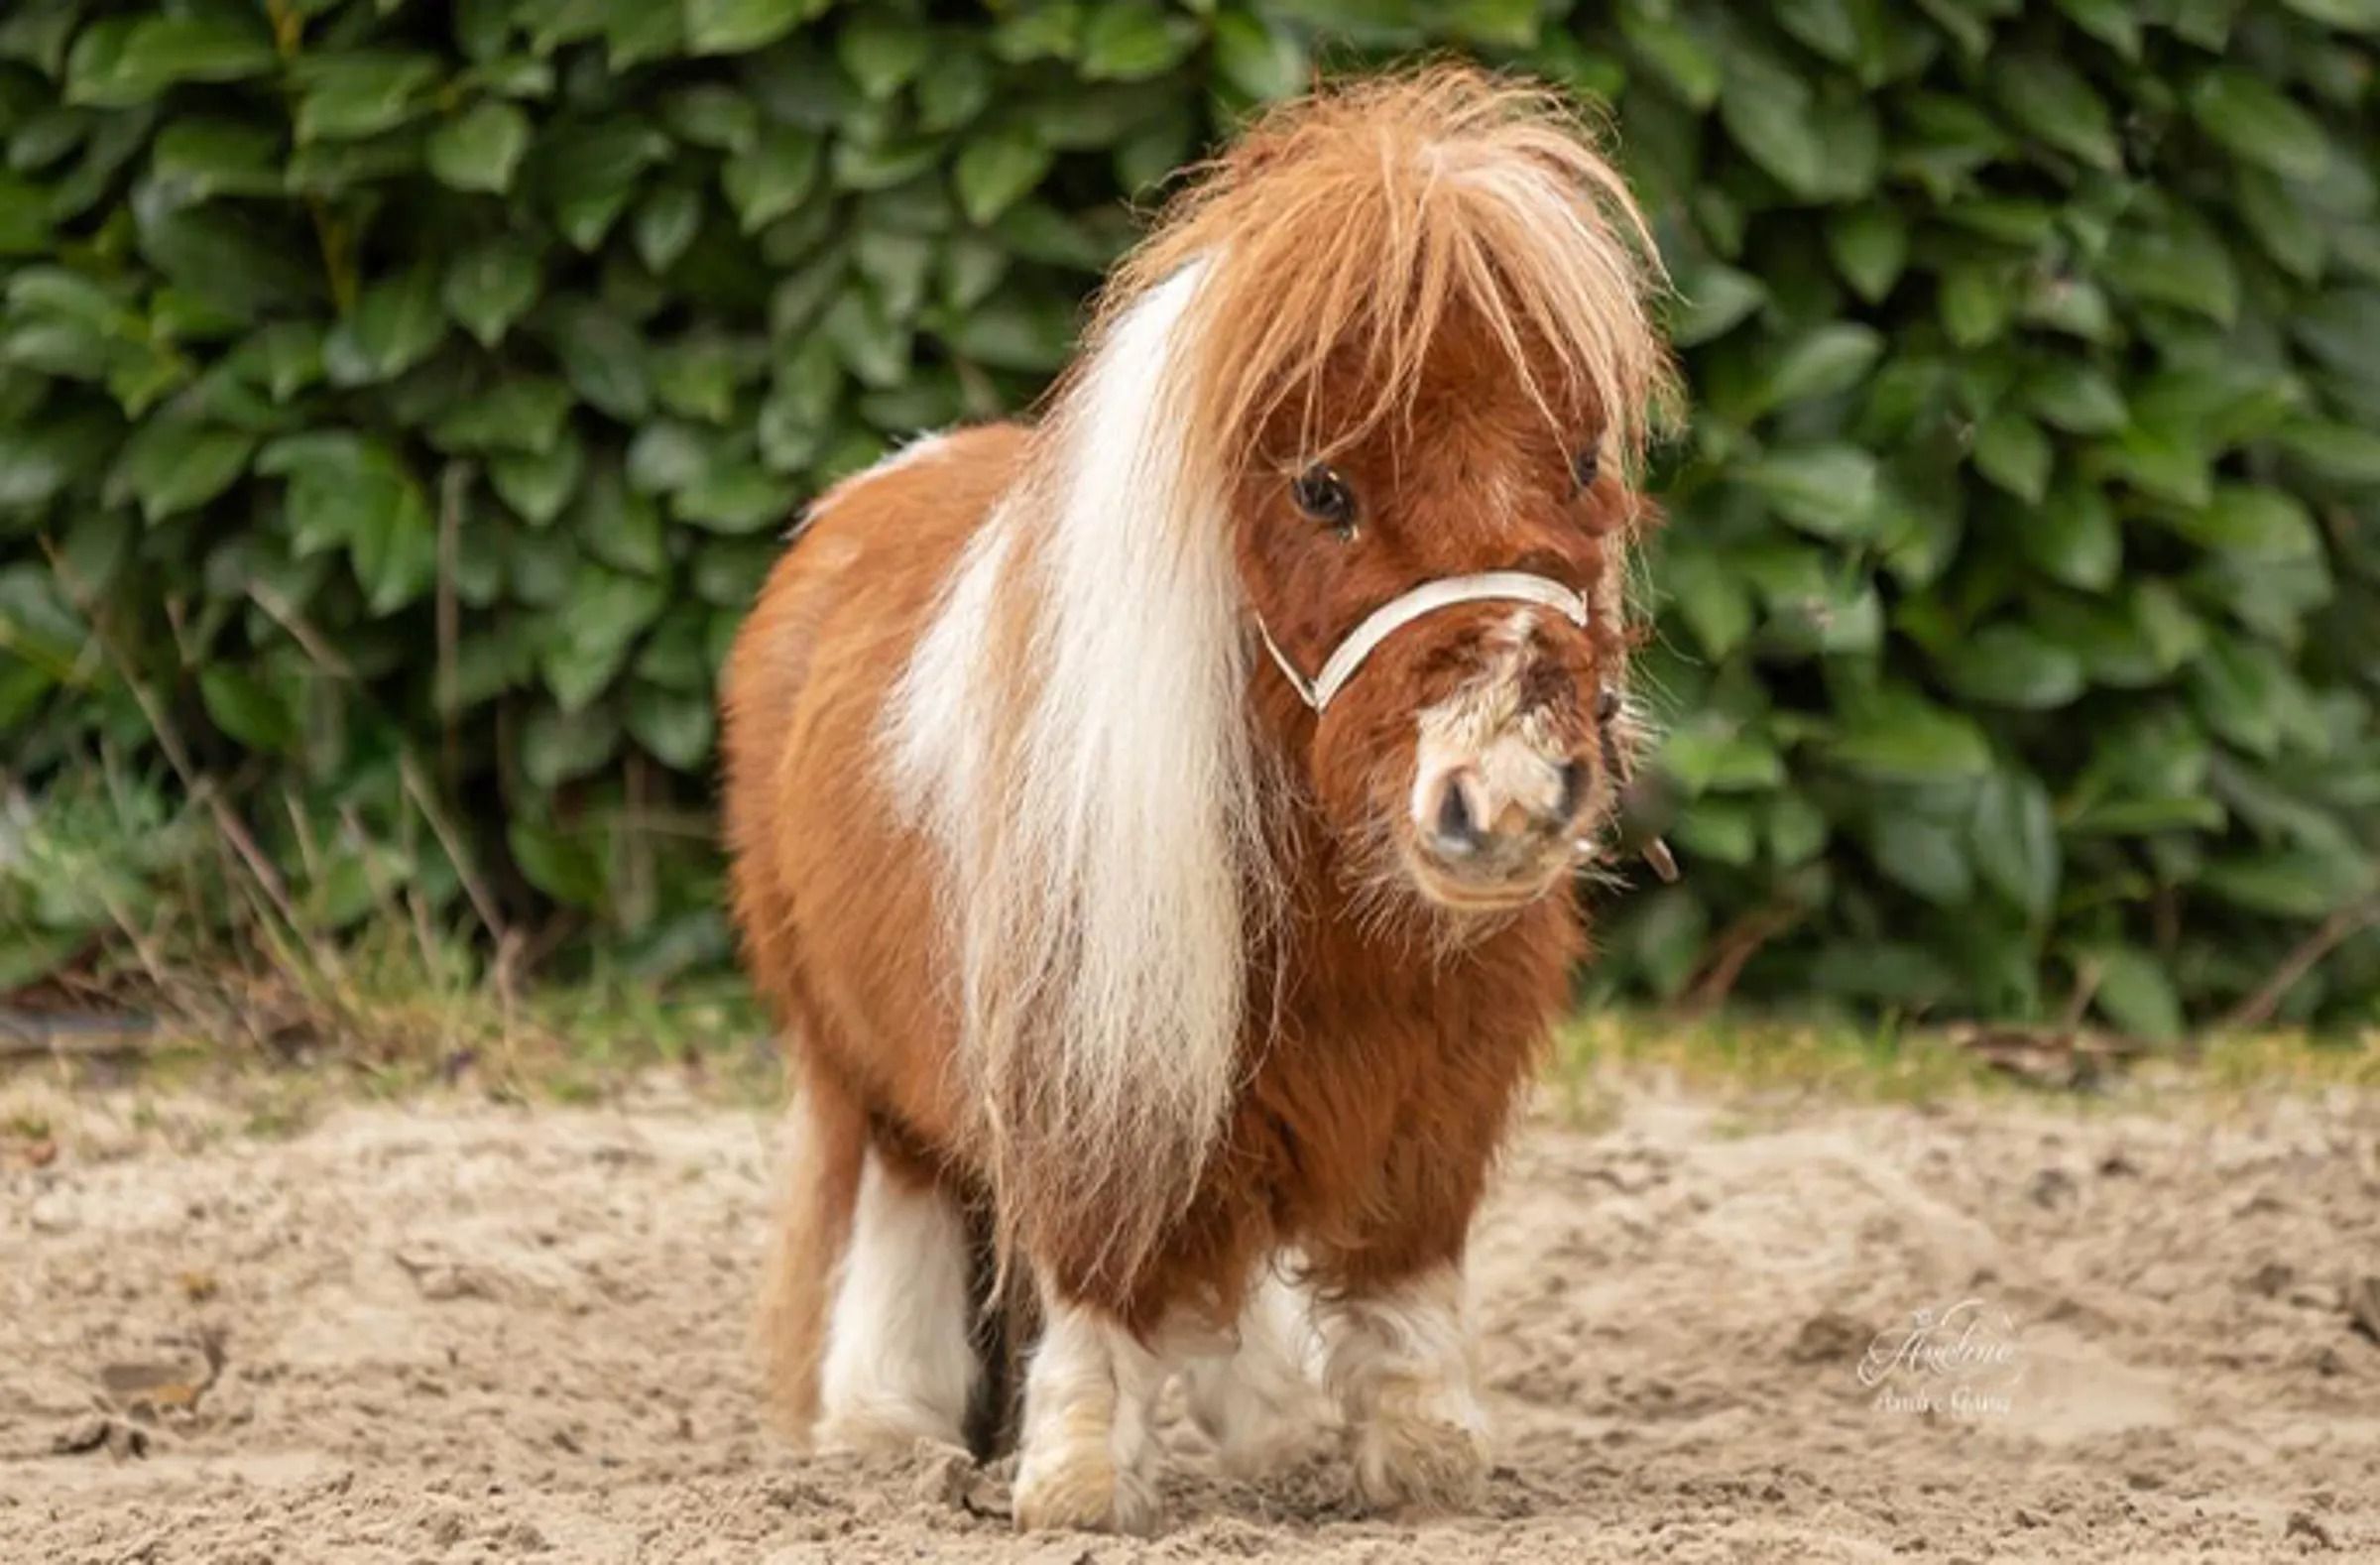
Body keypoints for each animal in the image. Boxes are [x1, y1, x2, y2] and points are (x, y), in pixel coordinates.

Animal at [719, 65, 1671, 1532]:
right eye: (1322, 488)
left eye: (1577, 463)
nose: (1505, 797)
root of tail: (857, 503)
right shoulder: (1088, 1055)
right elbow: (1098, 1271)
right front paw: (1076, 1478)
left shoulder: (1437, 1076)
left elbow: (1398, 1274)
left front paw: (1421, 1457)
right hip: (853, 1049)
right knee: (909, 1196)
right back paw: (888, 1427)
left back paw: (1264, 1432)